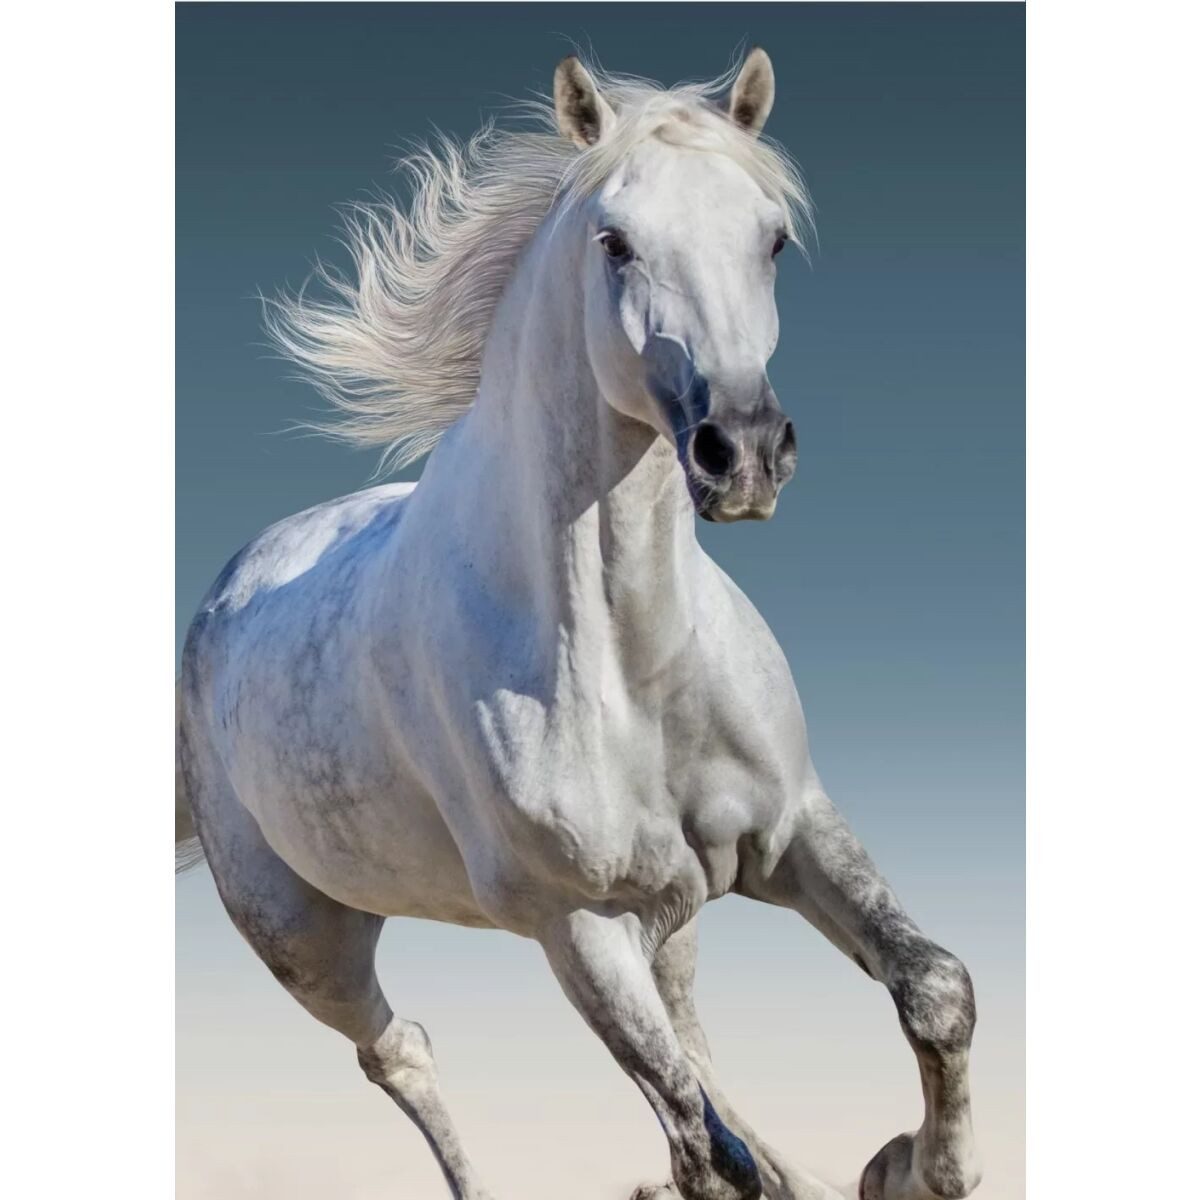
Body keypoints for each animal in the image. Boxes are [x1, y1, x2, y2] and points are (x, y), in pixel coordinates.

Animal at [176, 50, 981, 1200]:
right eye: (615, 240)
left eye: (772, 237)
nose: (742, 451)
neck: (629, 657)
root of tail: (228, 590)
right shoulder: (578, 925)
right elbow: (696, 1145)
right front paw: (891, 1166)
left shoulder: (790, 830)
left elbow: (934, 987)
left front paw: (915, 1167)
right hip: (305, 940)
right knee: (400, 1052)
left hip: (672, 903)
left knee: (691, 1028)